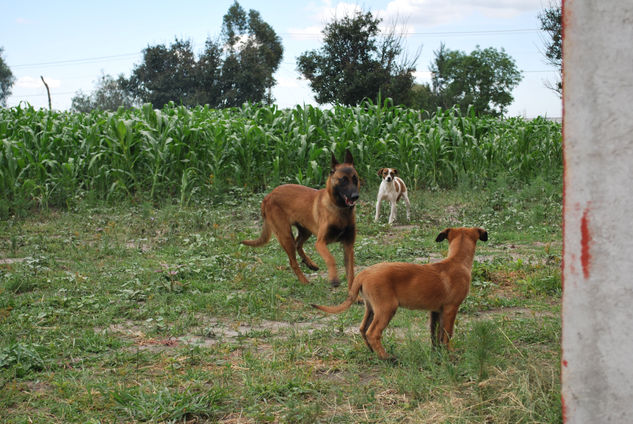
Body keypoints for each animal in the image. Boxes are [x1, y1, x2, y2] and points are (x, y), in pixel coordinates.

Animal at [242, 150, 360, 288]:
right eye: (343, 180)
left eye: (355, 179)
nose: (355, 196)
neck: (340, 209)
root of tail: (268, 196)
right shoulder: (320, 243)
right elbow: (331, 259)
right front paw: (334, 278)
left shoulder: (348, 246)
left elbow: (351, 272)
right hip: (286, 236)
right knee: (293, 261)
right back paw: (304, 281)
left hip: (305, 231)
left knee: (298, 244)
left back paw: (310, 263)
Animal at [314, 227, 486, 360]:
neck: (456, 261)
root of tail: (362, 274)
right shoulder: (451, 308)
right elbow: (447, 334)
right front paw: (449, 353)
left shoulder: (436, 311)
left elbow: (435, 334)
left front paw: (436, 352)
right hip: (387, 308)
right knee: (372, 332)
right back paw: (386, 358)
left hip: (371, 307)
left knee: (363, 329)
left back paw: (373, 352)